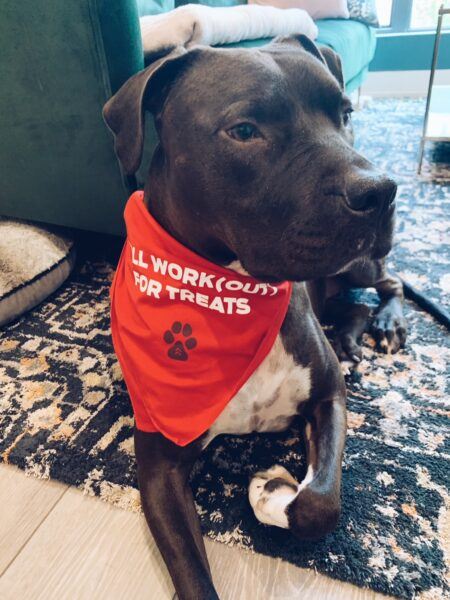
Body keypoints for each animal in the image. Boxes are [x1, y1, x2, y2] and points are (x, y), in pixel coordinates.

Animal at [103, 36, 406, 600]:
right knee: (352, 303)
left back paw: (385, 327)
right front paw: (272, 491)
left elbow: (320, 505)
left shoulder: (330, 398)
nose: (380, 190)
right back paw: (352, 336)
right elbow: (193, 575)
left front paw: (272, 491)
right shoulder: (158, 465)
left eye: (345, 113)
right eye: (244, 131)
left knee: (389, 283)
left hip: (359, 264)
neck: (236, 290)